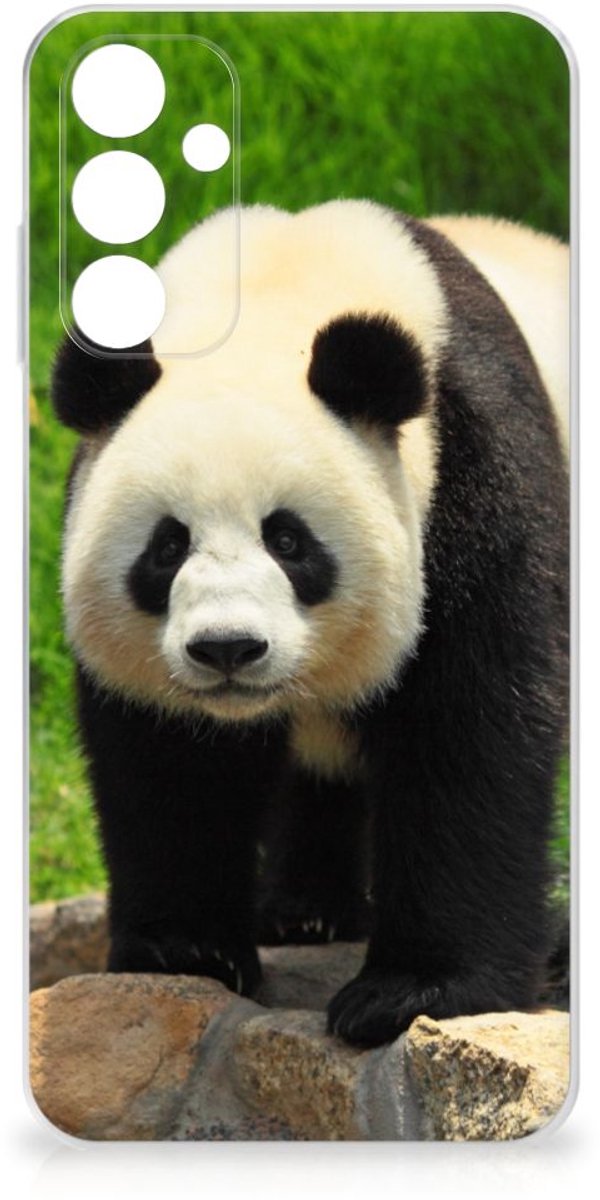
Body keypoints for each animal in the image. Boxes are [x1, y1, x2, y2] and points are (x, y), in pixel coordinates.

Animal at [51, 201, 569, 1048]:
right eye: (167, 546)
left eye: (289, 541)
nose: (227, 648)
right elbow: (171, 760)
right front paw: (186, 950)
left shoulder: (476, 473)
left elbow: (472, 729)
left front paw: (412, 992)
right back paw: (305, 912)